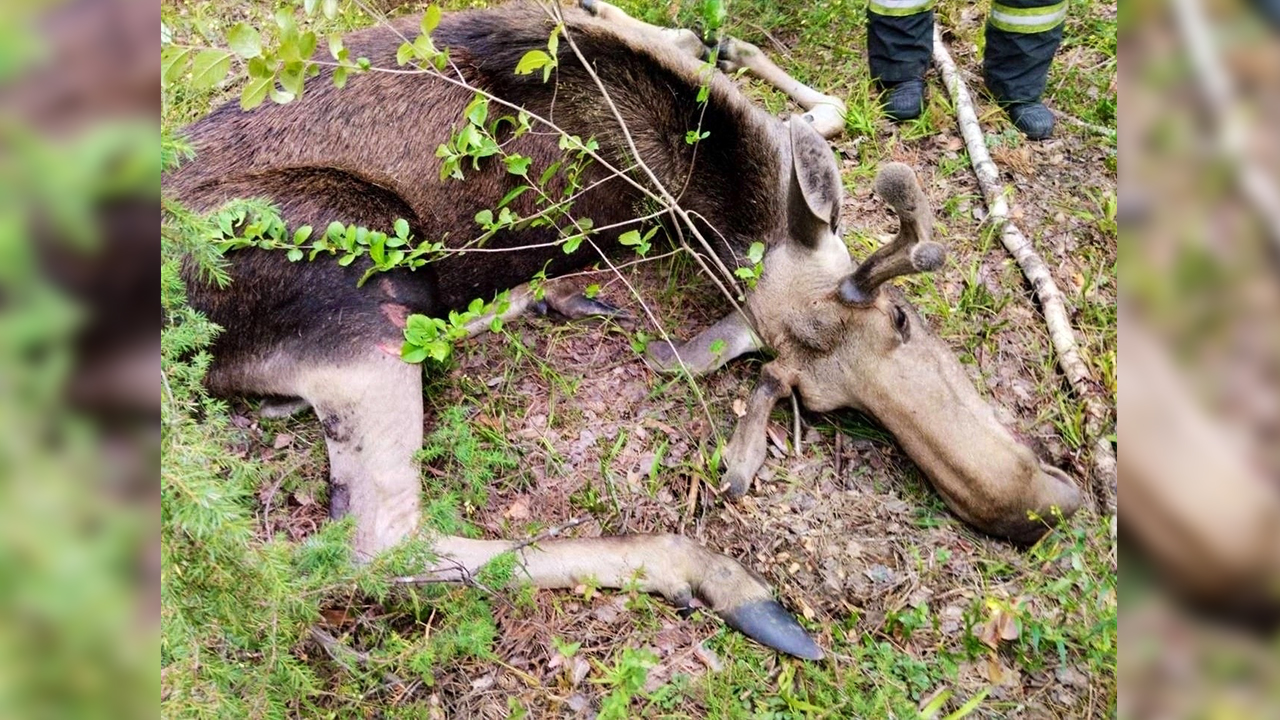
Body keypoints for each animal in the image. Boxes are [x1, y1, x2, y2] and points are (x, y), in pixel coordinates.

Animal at [160, 0, 1080, 661]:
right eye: (902, 313)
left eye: (817, 406)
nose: (1036, 511)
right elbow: (815, 111)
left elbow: (808, 108)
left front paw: (726, 48)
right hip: (364, 277)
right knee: (380, 544)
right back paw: (720, 579)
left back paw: (552, 298)